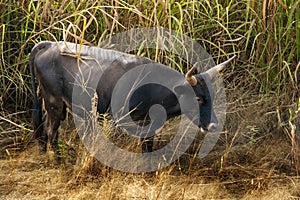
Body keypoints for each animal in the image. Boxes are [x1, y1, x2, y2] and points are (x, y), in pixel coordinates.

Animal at [29, 40, 237, 153]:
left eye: (212, 96)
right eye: (198, 99)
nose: (214, 125)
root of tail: (50, 45)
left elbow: (149, 146)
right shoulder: (134, 121)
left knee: (46, 129)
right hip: (54, 102)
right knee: (51, 132)